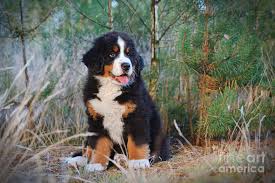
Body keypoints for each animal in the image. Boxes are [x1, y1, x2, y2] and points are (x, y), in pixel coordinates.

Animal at [67, 31, 170, 172]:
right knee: (87, 148)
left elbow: (137, 141)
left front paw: (138, 161)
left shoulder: (137, 116)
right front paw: (96, 164)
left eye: (129, 54)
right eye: (112, 54)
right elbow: (98, 144)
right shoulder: (96, 119)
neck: (111, 88)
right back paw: (78, 160)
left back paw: (122, 159)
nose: (126, 65)